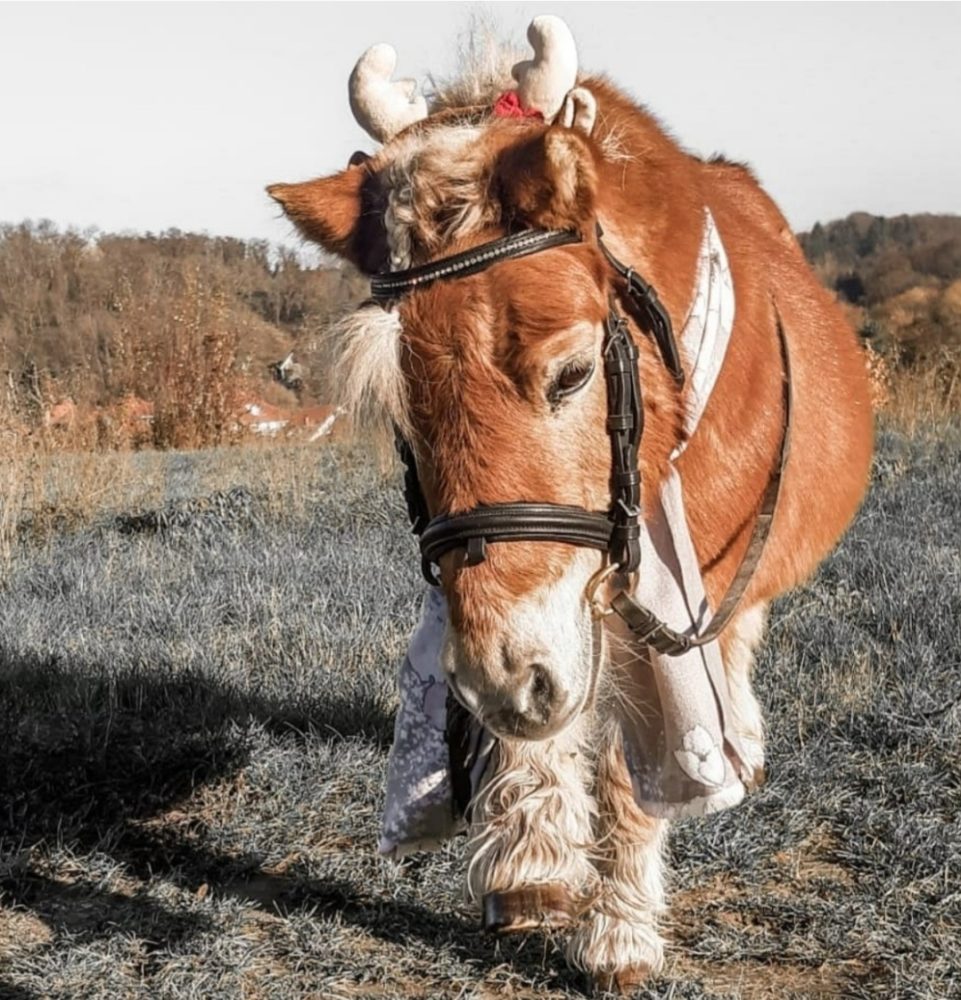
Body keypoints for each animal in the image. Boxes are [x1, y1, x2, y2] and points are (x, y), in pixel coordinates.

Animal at [266, 17, 872, 992]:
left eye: (574, 372)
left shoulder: (665, 598)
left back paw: (737, 739)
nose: (498, 678)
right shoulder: (521, 613)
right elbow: (537, 704)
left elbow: (634, 760)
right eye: (402, 412)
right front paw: (530, 860)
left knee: (738, 641)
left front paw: (618, 933)